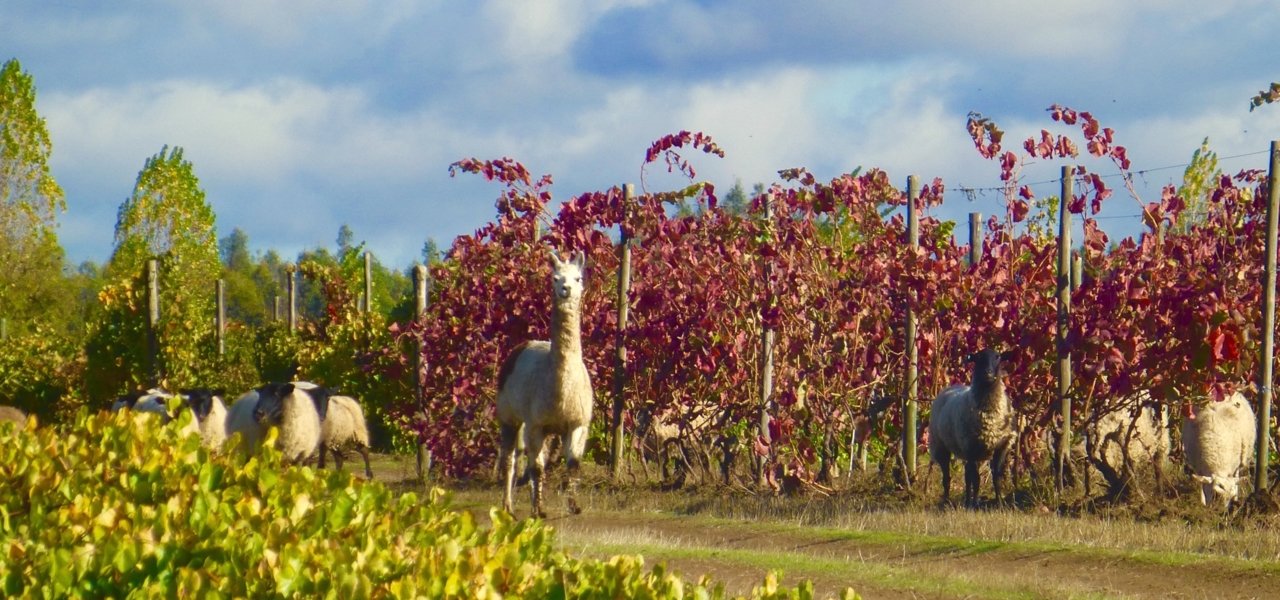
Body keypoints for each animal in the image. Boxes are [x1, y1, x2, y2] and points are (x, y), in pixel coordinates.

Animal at [496, 249, 594, 517]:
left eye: (578, 278)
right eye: (555, 278)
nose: (566, 289)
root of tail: (523, 345)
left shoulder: (578, 422)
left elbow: (573, 464)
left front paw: (574, 505)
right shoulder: (535, 424)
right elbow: (536, 468)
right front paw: (538, 510)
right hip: (508, 415)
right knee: (511, 458)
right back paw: (508, 506)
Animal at [928, 348, 1016, 508]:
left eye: (998, 357)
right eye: (978, 357)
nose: (988, 373)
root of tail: (952, 386)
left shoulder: (1002, 445)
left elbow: (996, 477)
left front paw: (999, 503)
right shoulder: (971, 446)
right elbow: (977, 480)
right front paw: (975, 505)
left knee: (967, 475)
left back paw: (967, 500)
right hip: (941, 446)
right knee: (947, 477)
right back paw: (947, 501)